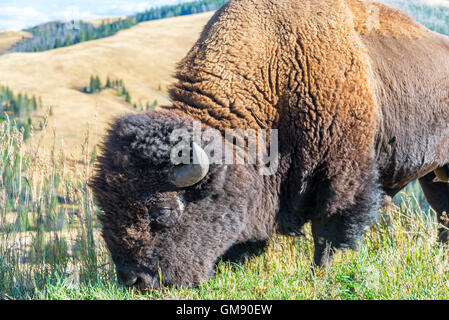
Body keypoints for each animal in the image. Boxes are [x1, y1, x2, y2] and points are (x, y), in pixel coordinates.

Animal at [89, 0, 448, 290]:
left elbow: (328, 234)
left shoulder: (343, 179)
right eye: (106, 208)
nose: (135, 281)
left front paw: (318, 276)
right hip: (434, 176)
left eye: (162, 210)